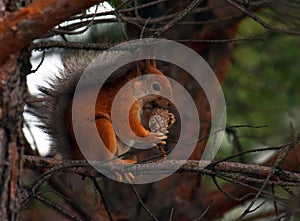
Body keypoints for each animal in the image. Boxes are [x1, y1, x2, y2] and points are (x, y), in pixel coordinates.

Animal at [34, 51, 176, 164]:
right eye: (156, 86)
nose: (170, 104)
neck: (133, 89)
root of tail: (76, 156)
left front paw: (170, 118)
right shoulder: (122, 103)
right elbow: (129, 125)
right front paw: (151, 137)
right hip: (99, 128)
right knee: (103, 161)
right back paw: (118, 165)